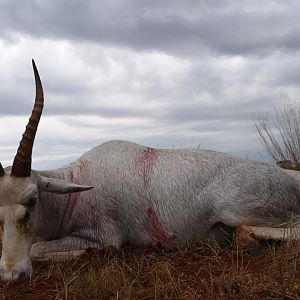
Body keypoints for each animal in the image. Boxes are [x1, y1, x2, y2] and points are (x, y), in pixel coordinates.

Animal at [0, 61, 300, 282]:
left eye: (32, 200)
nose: (12, 274)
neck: (74, 188)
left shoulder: (102, 234)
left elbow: (37, 247)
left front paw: (95, 254)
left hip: (240, 211)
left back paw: (247, 240)